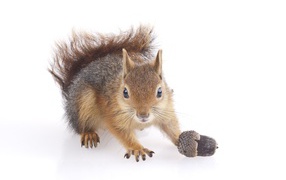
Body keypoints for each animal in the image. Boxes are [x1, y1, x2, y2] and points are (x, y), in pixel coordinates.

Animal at [49, 25, 181, 162]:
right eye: (125, 92)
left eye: (160, 92)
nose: (143, 115)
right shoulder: (112, 114)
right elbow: (122, 133)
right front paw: (137, 148)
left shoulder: (166, 111)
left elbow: (171, 126)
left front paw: (180, 138)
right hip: (82, 103)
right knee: (80, 126)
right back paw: (89, 134)